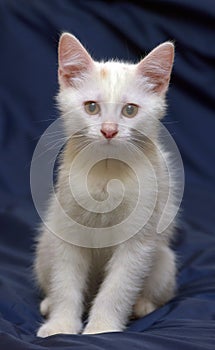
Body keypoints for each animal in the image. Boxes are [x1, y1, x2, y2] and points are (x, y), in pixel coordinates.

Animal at [34, 33, 176, 336]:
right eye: (91, 107)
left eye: (130, 110)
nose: (109, 130)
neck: (106, 172)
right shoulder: (67, 229)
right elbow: (65, 283)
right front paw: (61, 325)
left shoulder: (139, 239)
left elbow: (118, 288)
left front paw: (102, 329)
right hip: (45, 244)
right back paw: (48, 304)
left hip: (164, 261)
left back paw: (143, 305)